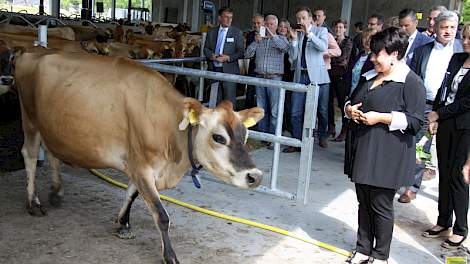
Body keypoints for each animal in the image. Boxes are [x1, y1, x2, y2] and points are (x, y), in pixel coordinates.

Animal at [6, 50, 264, 264]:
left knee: (51, 153)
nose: (255, 176)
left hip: (52, 126)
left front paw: (123, 224)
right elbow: (161, 215)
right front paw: (170, 256)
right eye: (218, 137)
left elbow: (131, 193)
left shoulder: (137, 164)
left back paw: (57, 191)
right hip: (30, 119)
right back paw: (33, 202)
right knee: (30, 155)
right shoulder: (141, 166)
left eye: (245, 134)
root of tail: (31, 51)